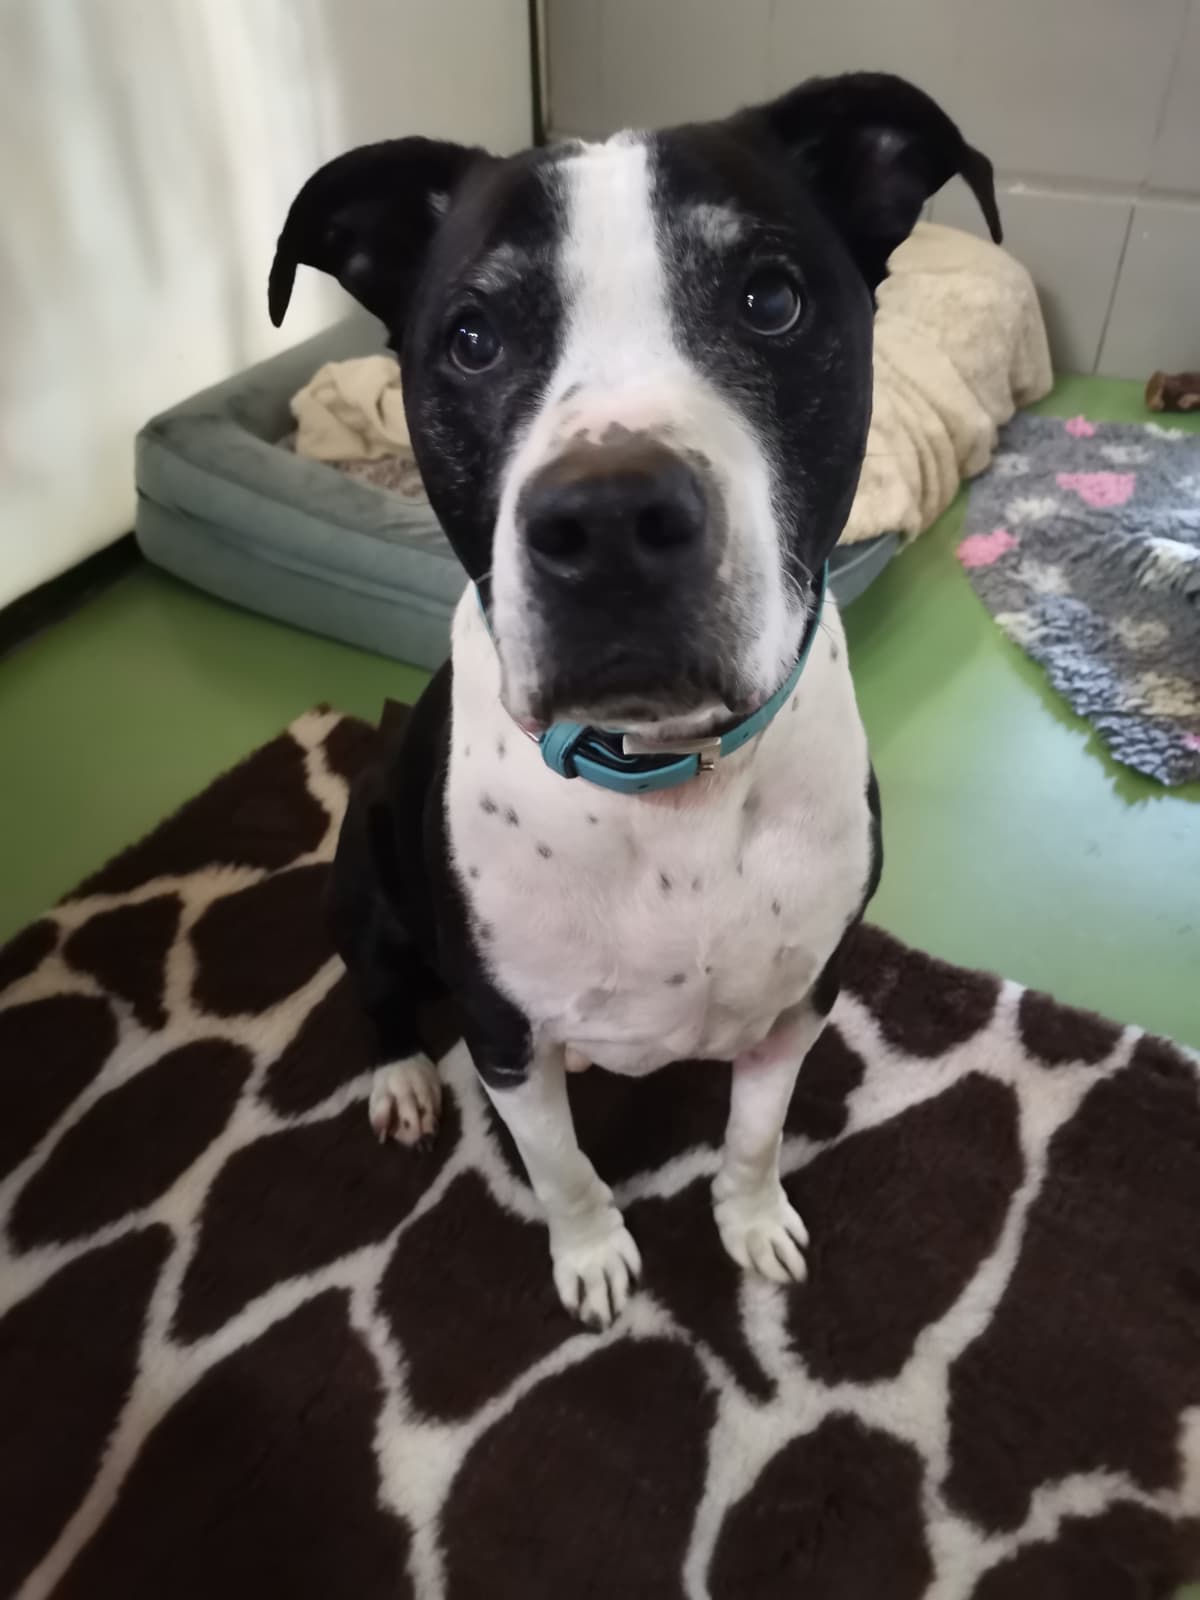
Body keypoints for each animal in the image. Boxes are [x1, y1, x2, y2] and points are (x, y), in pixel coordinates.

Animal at [269, 73, 1000, 1327]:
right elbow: (560, 1164)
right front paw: (593, 1254)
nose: (608, 519)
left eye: (770, 298)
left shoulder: (806, 996)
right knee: (376, 992)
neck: (666, 777)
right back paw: (401, 1077)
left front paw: (749, 1223)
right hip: (365, 880)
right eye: (473, 337)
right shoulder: (505, 1036)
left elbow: (754, 1134)